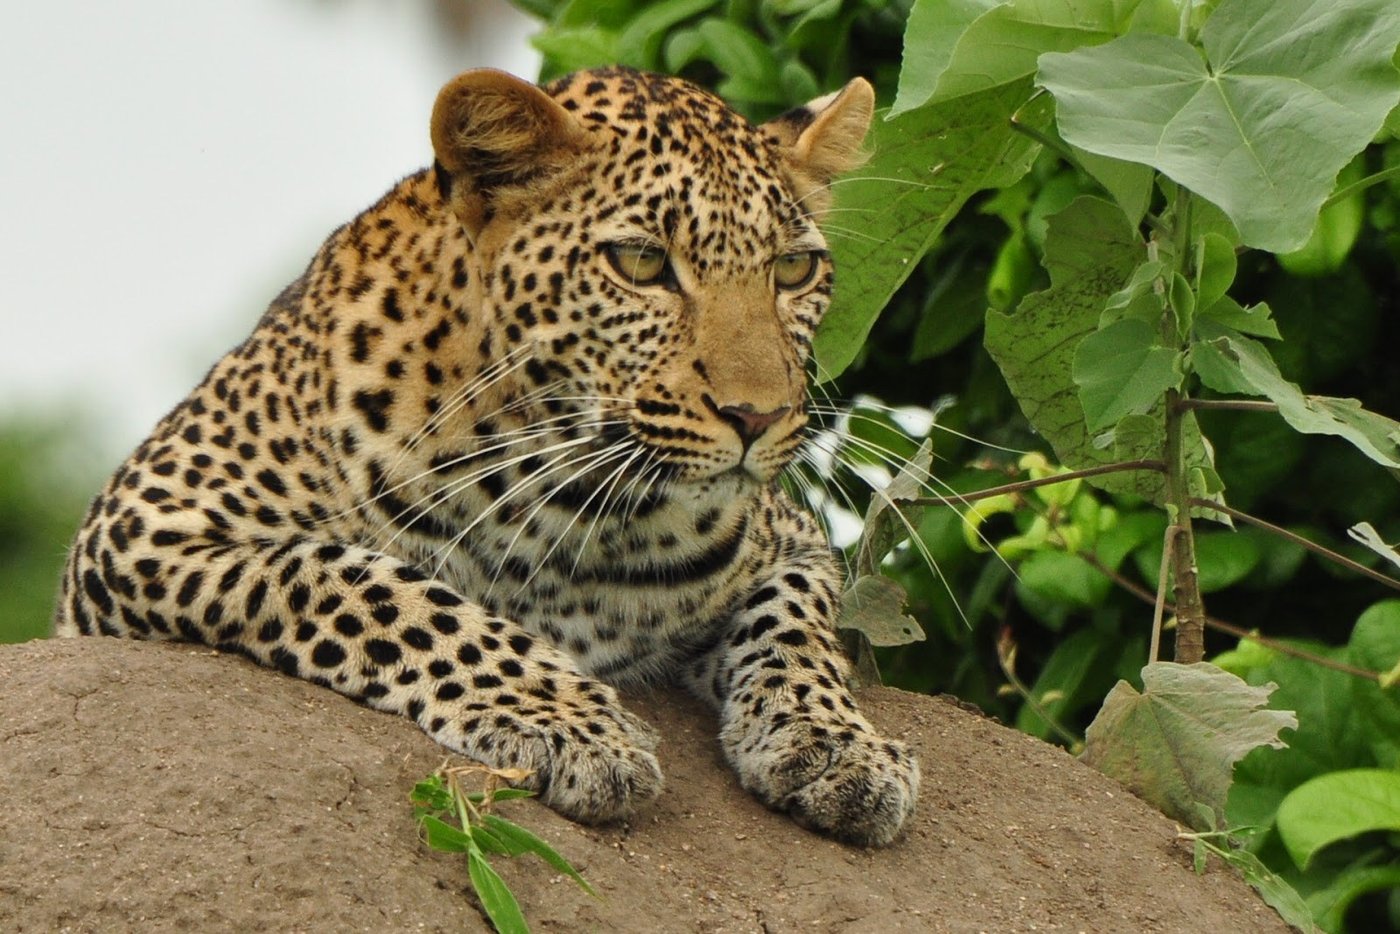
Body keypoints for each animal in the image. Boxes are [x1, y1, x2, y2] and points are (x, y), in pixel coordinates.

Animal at [55, 65, 919, 847]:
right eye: (642, 263)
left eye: (794, 270)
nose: (757, 415)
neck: (575, 502)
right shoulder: (145, 521)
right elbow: (375, 586)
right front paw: (570, 722)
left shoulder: (791, 541)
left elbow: (797, 630)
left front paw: (840, 746)